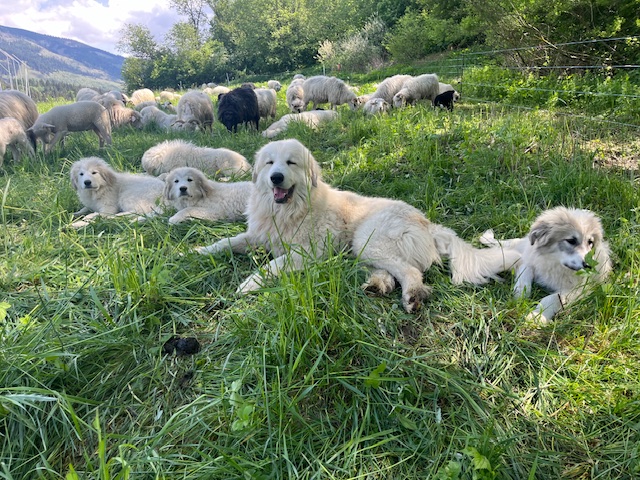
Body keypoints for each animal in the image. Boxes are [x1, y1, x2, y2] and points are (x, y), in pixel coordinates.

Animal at [192, 139, 516, 314]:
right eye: (270, 163)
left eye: (291, 163)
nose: (276, 178)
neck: (289, 211)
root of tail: (428, 223)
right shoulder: (257, 235)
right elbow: (226, 243)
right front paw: (196, 252)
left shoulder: (307, 253)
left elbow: (272, 266)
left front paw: (248, 284)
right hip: (366, 249)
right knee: (392, 273)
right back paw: (377, 286)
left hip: (368, 240)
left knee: (410, 272)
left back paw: (411, 296)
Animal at [482, 206, 612, 322]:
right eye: (571, 240)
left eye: (590, 242)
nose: (589, 266)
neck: (555, 263)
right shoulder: (528, 260)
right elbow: (524, 277)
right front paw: (520, 295)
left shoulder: (581, 288)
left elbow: (553, 298)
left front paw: (537, 317)